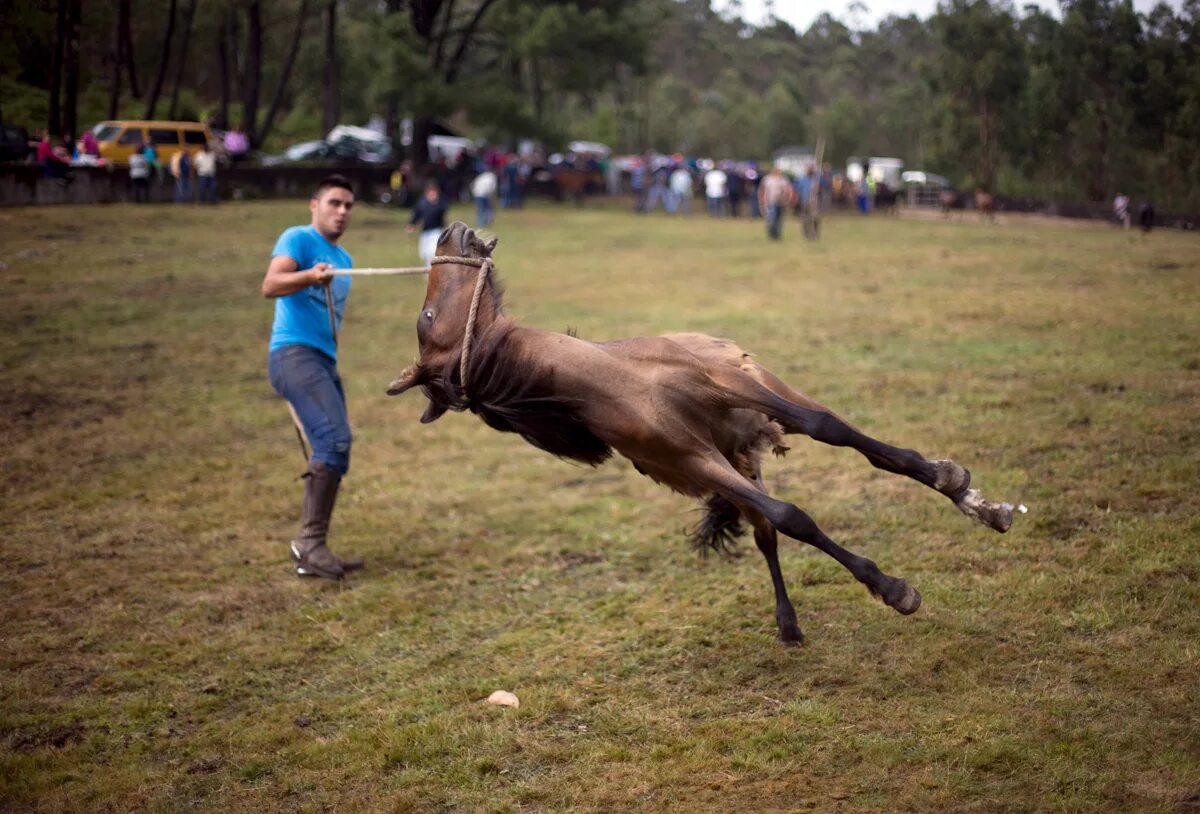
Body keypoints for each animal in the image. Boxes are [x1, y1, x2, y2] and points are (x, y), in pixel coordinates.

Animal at [388, 223, 1017, 648]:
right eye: (426, 319)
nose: (449, 231)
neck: (615, 382)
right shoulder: (695, 461)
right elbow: (792, 519)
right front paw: (891, 588)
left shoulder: (731, 388)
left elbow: (832, 431)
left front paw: (952, 483)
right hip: (739, 462)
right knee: (766, 531)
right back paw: (788, 623)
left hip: (762, 394)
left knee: (838, 437)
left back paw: (970, 498)